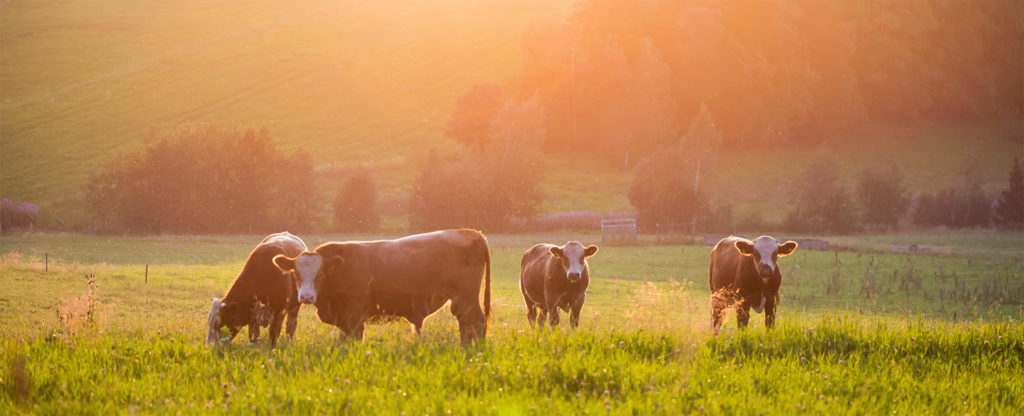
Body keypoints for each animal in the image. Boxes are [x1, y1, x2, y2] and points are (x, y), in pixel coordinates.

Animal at [270, 229, 489, 342]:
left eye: (320, 273)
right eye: (296, 273)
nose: (306, 297)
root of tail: (469, 232)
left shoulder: (355, 315)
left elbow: (355, 339)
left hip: (466, 298)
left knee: (476, 322)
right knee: (467, 324)